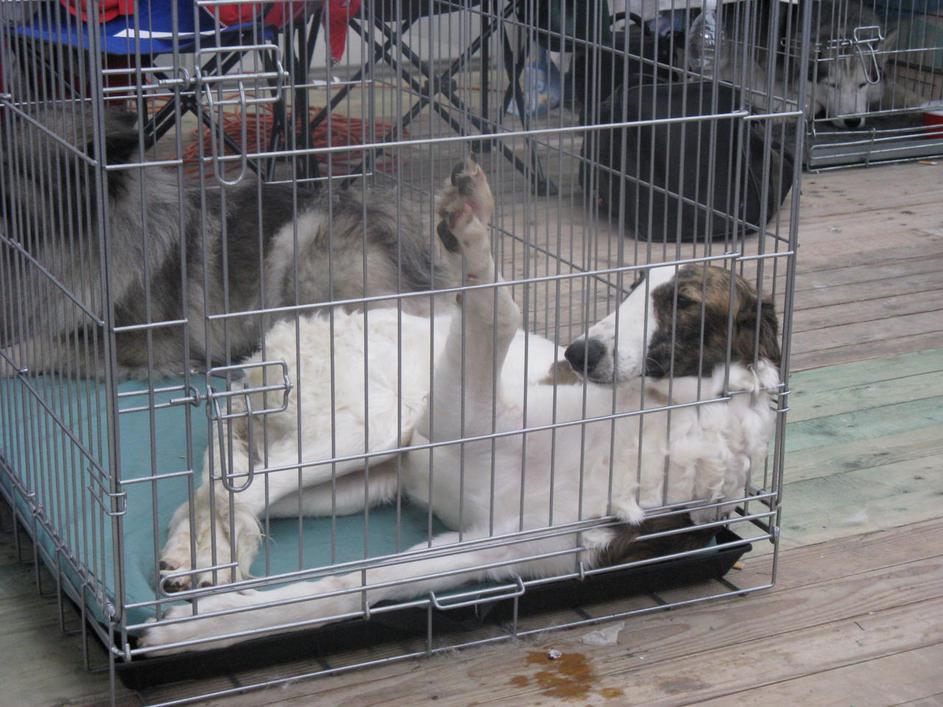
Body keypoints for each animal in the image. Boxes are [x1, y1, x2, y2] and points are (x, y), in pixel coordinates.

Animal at [141, 158, 781, 653]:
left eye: (684, 302)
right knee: (224, 488)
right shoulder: (464, 416)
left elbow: (348, 589)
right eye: (631, 288)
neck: (675, 424)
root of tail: (267, 351)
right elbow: (499, 309)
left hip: (360, 478)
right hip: (375, 427)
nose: (577, 354)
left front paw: (201, 629)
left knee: (228, 490)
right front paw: (470, 230)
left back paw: (201, 558)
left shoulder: (493, 547)